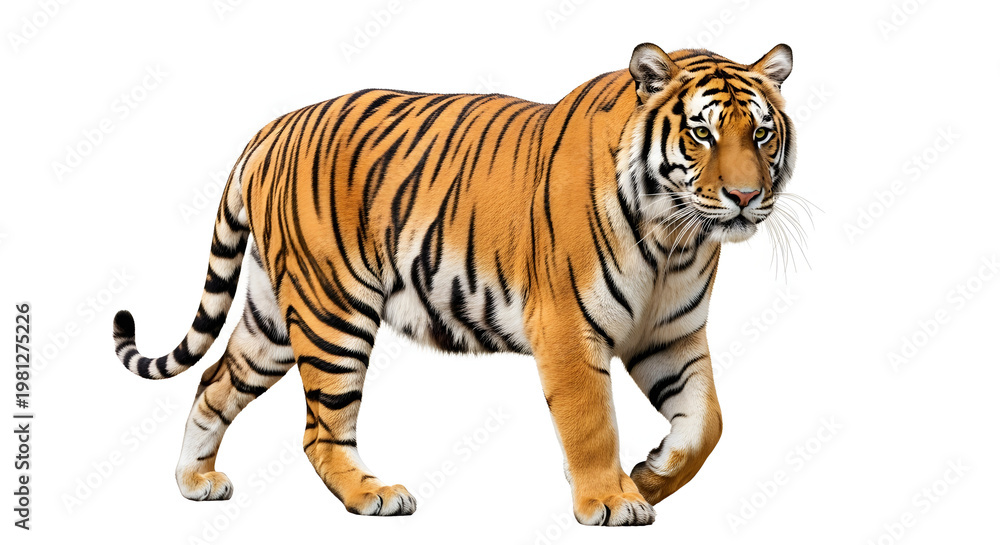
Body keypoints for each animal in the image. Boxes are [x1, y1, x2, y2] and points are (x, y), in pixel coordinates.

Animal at [112, 42, 795, 526]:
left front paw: (652, 475)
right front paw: (609, 499)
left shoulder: (671, 338)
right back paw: (374, 494)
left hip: (273, 318)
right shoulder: (568, 330)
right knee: (319, 431)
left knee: (214, 382)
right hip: (332, 312)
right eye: (702, 133)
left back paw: (194, 483)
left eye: (761, 133)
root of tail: (273, 127)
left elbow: (708, 424)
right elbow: (592, 422)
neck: (675, 240)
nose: (745, 196)